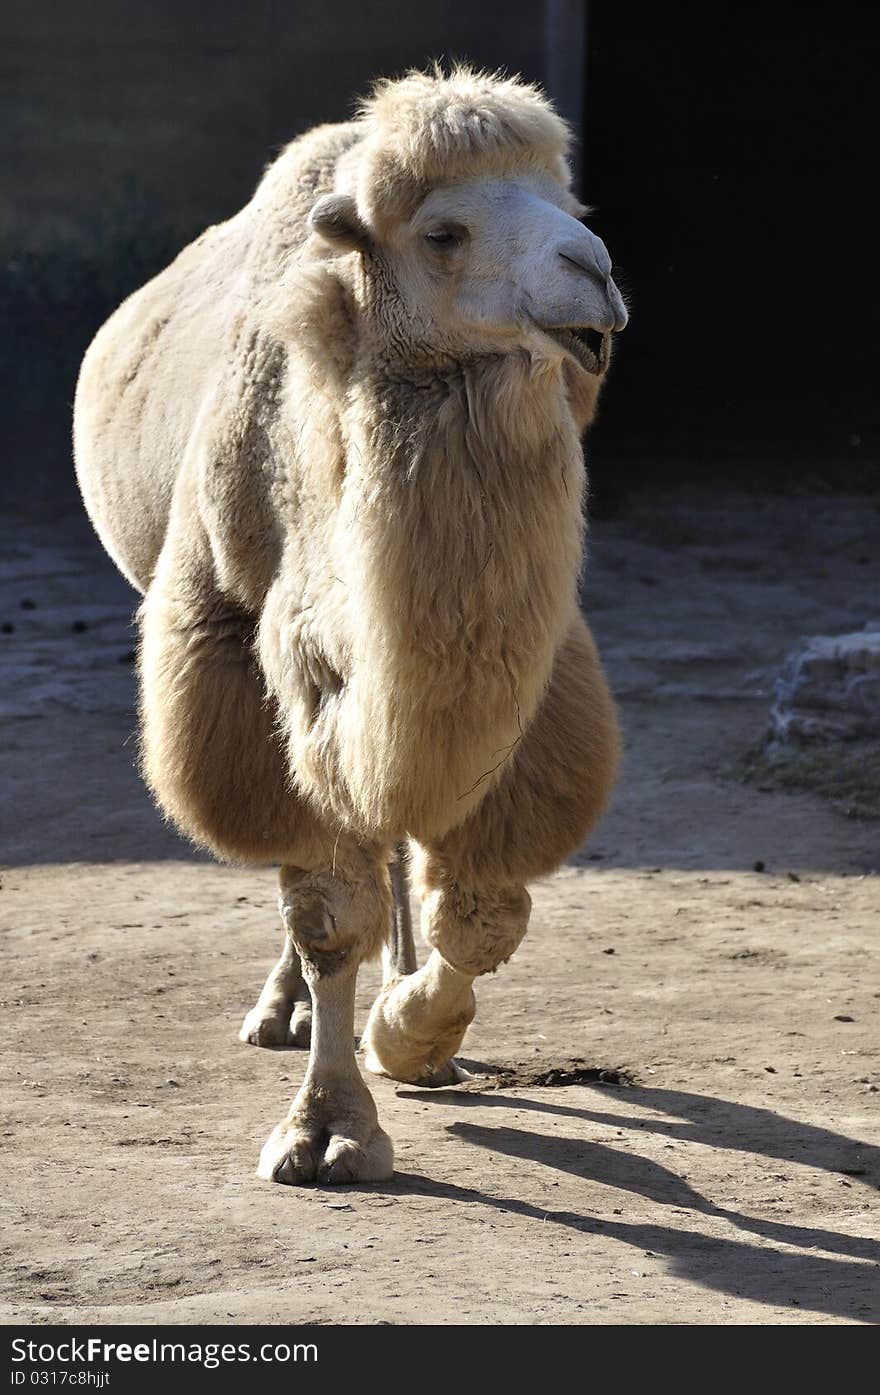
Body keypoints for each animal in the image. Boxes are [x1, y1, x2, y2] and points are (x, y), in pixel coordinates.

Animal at [73, 62, 627, 1177]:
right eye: (443, 232)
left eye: (571, 207)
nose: (593, 276)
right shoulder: (237, 658)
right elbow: (328, 911)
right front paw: (327, 1128)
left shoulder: (531, 679)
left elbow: (484, 907)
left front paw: (412, 1035)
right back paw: (280, 1012)